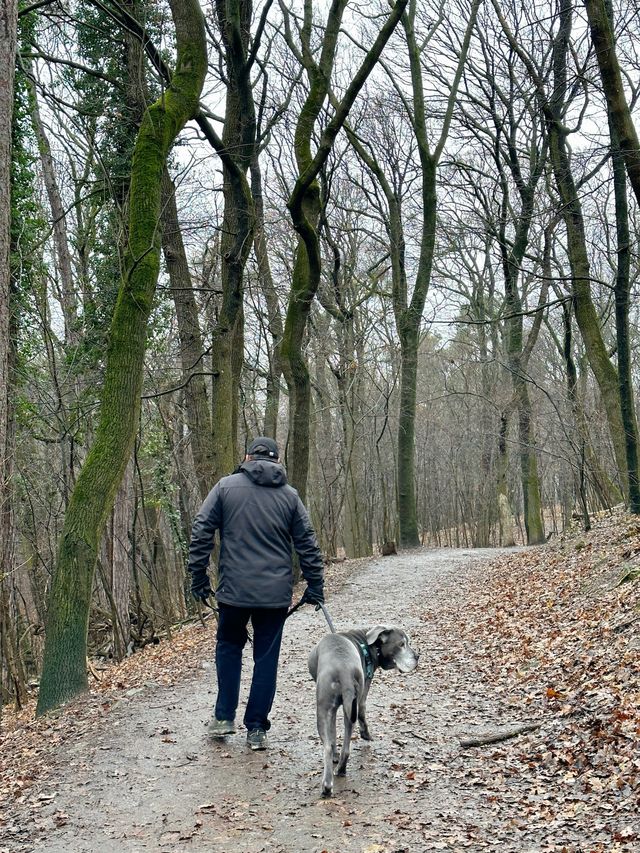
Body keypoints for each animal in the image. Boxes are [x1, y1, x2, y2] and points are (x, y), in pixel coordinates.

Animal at [308, 624, 418, 796]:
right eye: (402, 644)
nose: (417, 656)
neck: (368, 645)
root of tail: (344, 670)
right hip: (348, 705)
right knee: (345, 747)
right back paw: (339, 771)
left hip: (325, 708)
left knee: (327, 747)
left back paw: (327, 785)